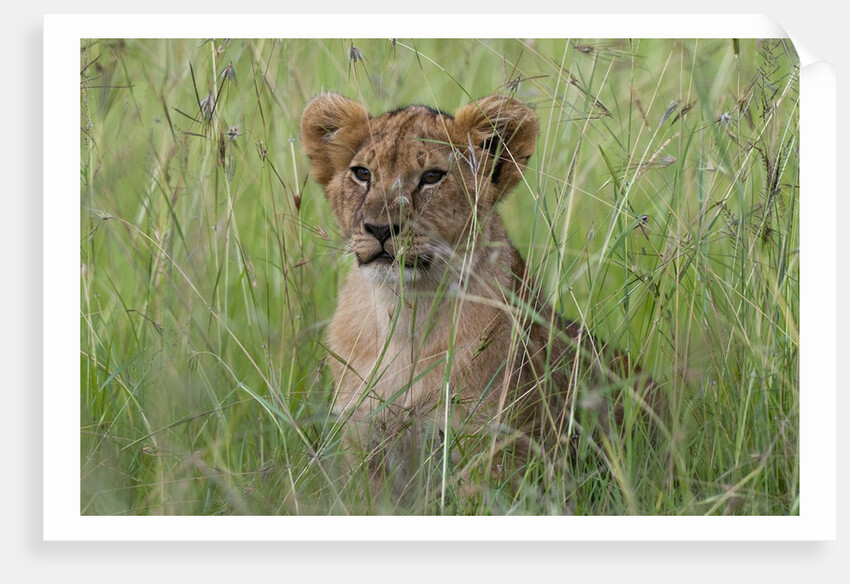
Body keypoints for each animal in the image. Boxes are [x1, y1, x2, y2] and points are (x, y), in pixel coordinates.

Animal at [300, 92, 657, 507]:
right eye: (362, 173)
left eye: (432, 176)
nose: (380, 229)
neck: (405, 312)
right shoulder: (364, 441)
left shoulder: (494, 447)